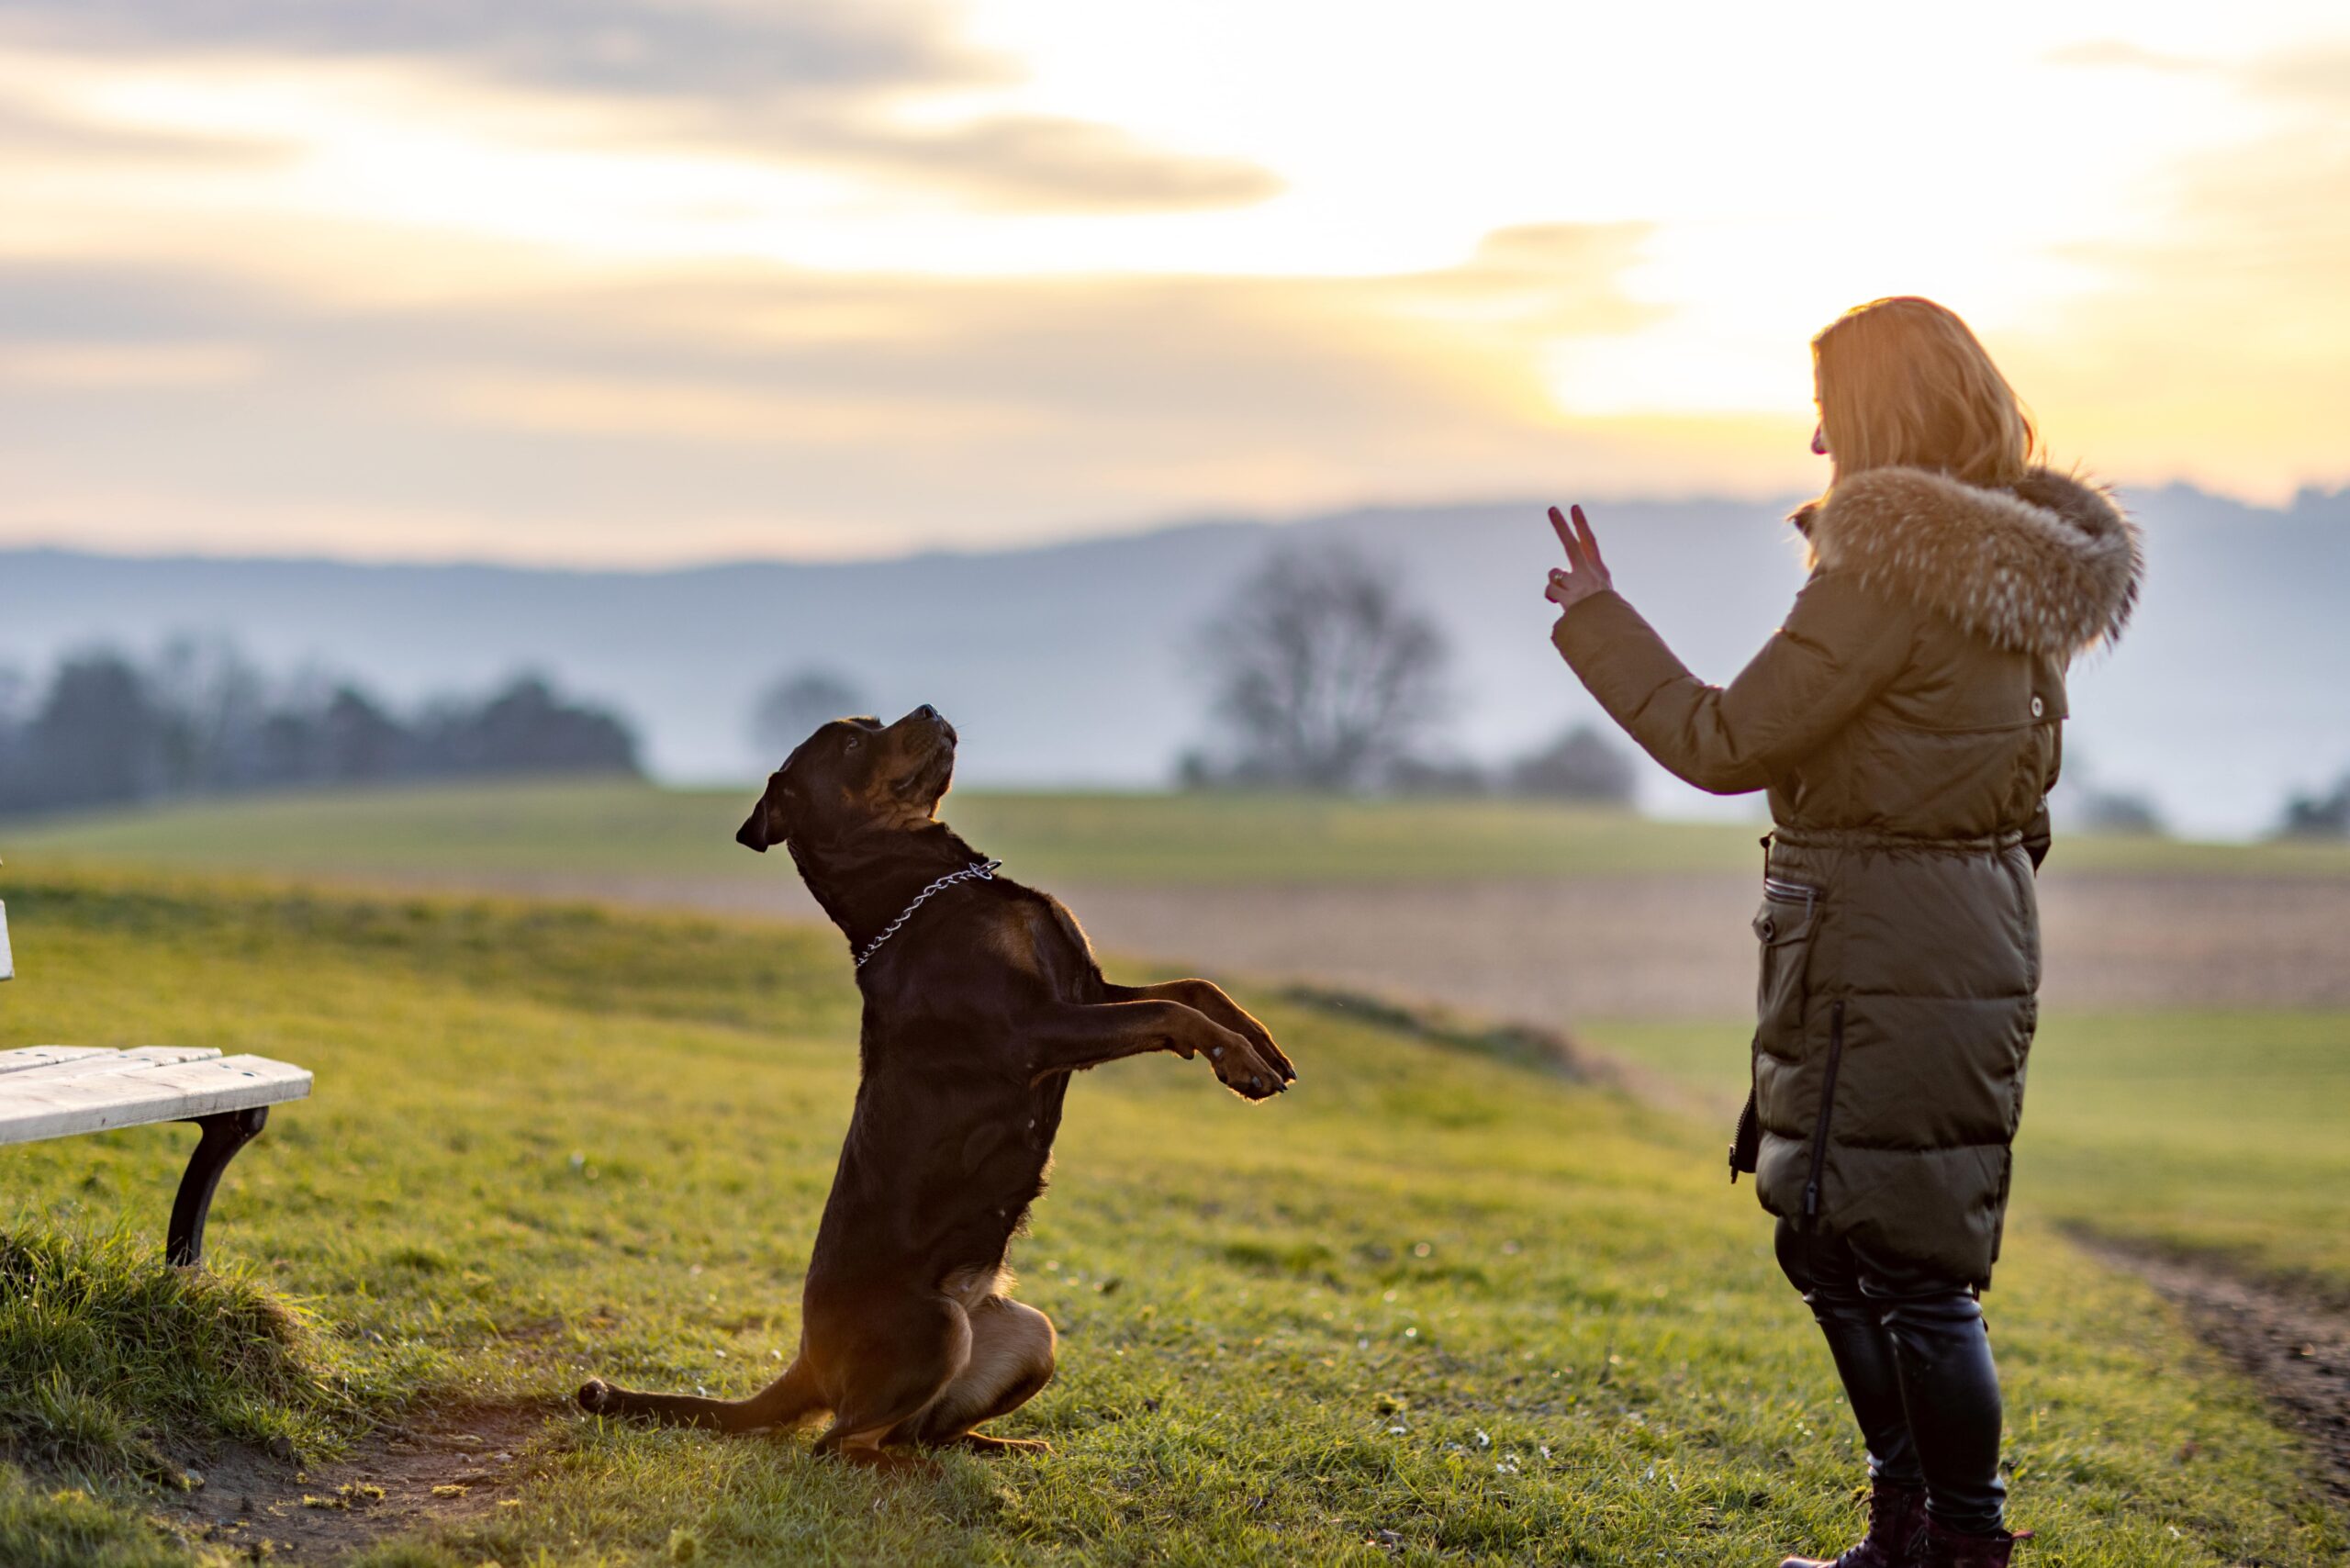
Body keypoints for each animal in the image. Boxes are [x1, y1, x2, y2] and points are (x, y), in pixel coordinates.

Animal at [577, 705, 1297, 1466]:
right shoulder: (1034, 1030)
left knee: (924, 1430)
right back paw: (904, 1466)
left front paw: (1260, 1046)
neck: (926, 886)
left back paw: (1003, 1447)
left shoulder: (1084, 989)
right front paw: (1239, 1062)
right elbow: (1167, 1011)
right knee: (839, 1442)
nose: (927, 710)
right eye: (852, 742)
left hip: (1030, 1333)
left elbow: (1192, 988)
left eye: (872, 719)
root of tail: (806, 1362)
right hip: (936, 1327)